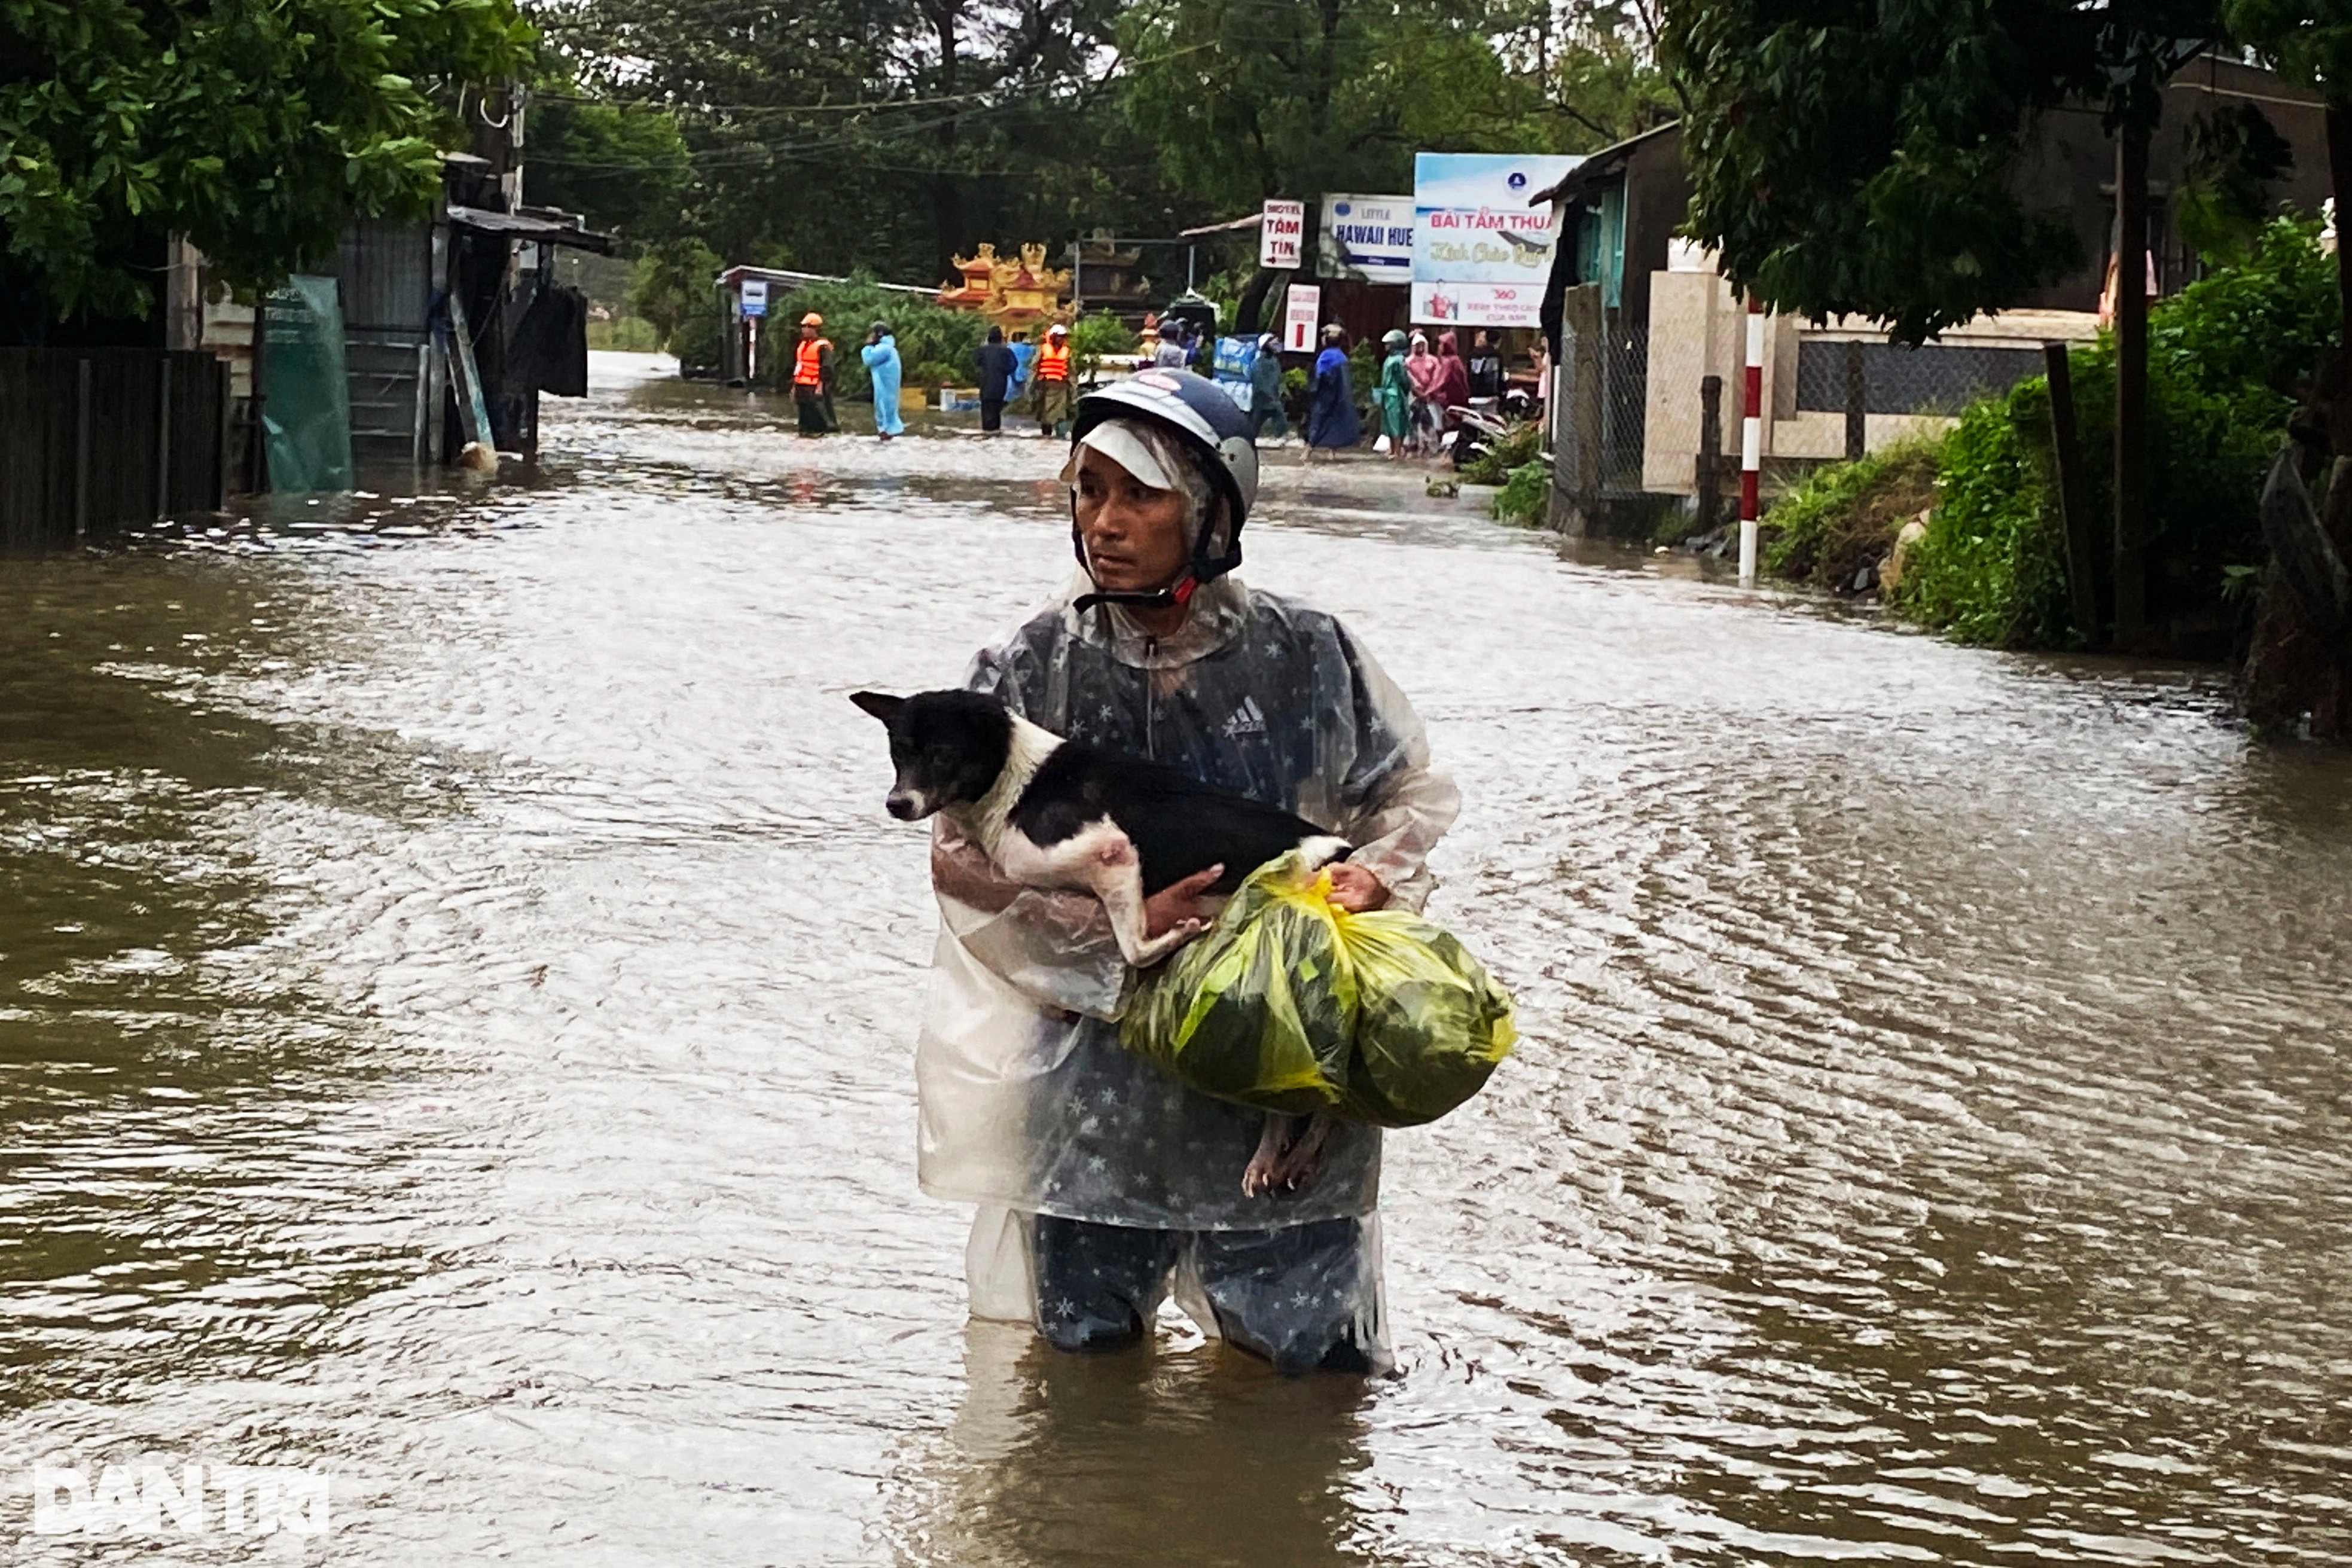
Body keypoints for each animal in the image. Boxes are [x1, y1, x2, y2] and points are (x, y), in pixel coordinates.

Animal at [861, 691, 1345, 1194]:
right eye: (899, 752)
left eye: (942, 754)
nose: (897, 804)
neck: (1014, 785)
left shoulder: (1111, 853)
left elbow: (1133, 945)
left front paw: (1178, 933)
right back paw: (1278, 1157)